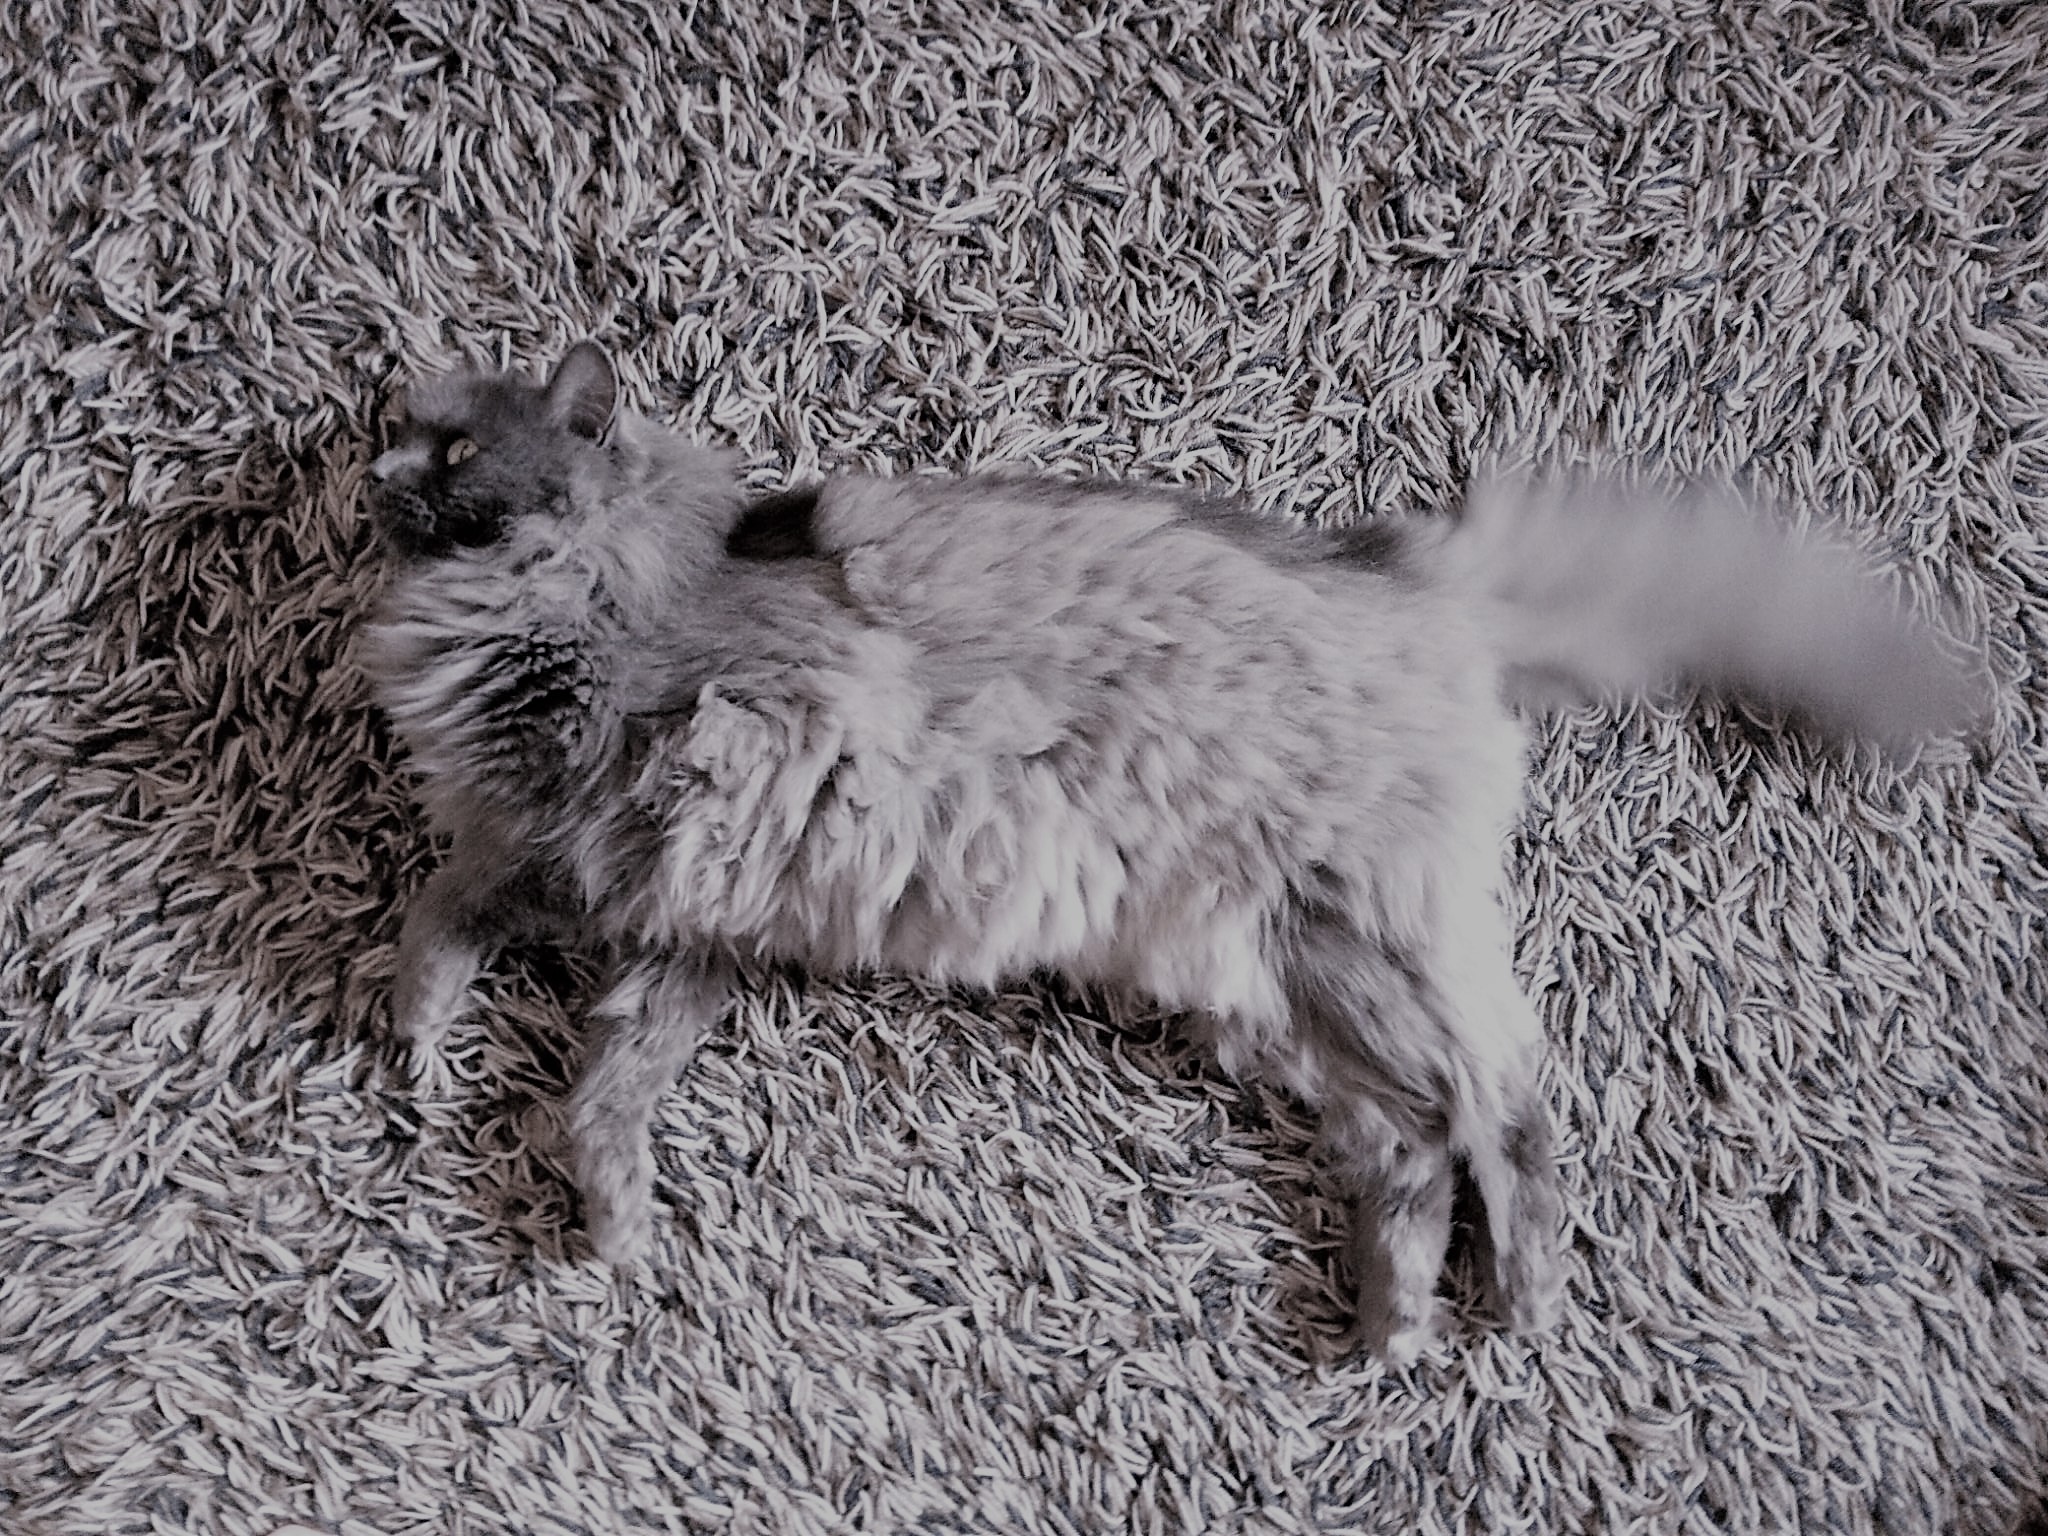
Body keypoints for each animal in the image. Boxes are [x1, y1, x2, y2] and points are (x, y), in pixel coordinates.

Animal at [356, 342, 1982, 1368]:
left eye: (457, 449)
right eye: (403, 434)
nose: (370, 476)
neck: (604, 581)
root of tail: (1411, 574)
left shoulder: (598, 829)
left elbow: (443, 915)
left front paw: (418, 1043)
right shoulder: (675, 920)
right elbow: (605, 1087)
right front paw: (608, 1221)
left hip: (1372, 938)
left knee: (1505, 1104)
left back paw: (1518, 1302)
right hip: (1293, 983)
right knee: (1414, 1140)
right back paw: (1393, 1328)